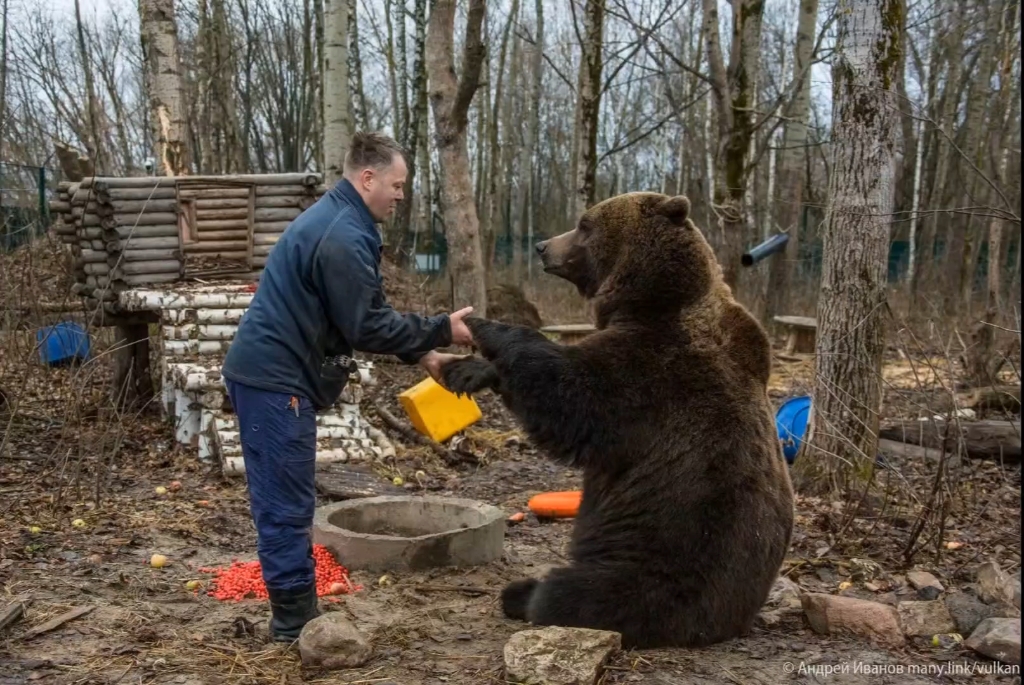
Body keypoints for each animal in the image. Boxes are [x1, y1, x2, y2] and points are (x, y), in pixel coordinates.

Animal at [438, 191, 790, 647]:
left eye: (585, 224)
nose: (543, 246)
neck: (651, 298)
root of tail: (730, 623)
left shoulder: (653, 372)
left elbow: (570, 393)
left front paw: (481, 324)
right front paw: (466, 369)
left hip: (658, 560)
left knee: (583, 594)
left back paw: (525, 592)